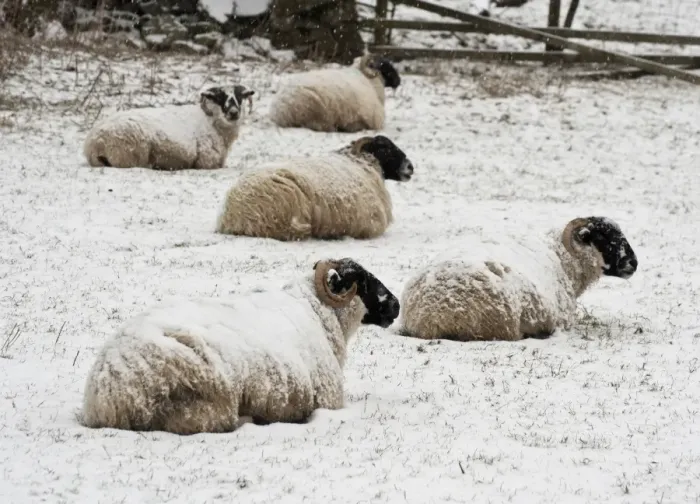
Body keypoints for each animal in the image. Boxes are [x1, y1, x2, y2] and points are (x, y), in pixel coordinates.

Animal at [80, 258, 400, 434]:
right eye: (362, 281)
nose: (396, 305)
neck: (318, 312)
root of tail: (109, 391)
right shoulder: (329, 399)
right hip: (207, 401)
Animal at [83, 84, 255, 171]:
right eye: (220, 97)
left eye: (240, 97)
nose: (234, 113)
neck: (212, 122)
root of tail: (94, 144)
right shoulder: (206, 162)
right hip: (131, 154)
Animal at [269, 53, 401, 132]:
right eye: (385, 66)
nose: (399, 80)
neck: (369, 81)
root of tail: (279, 111)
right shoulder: (373, 118)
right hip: (315, 108)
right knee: (321, 126)